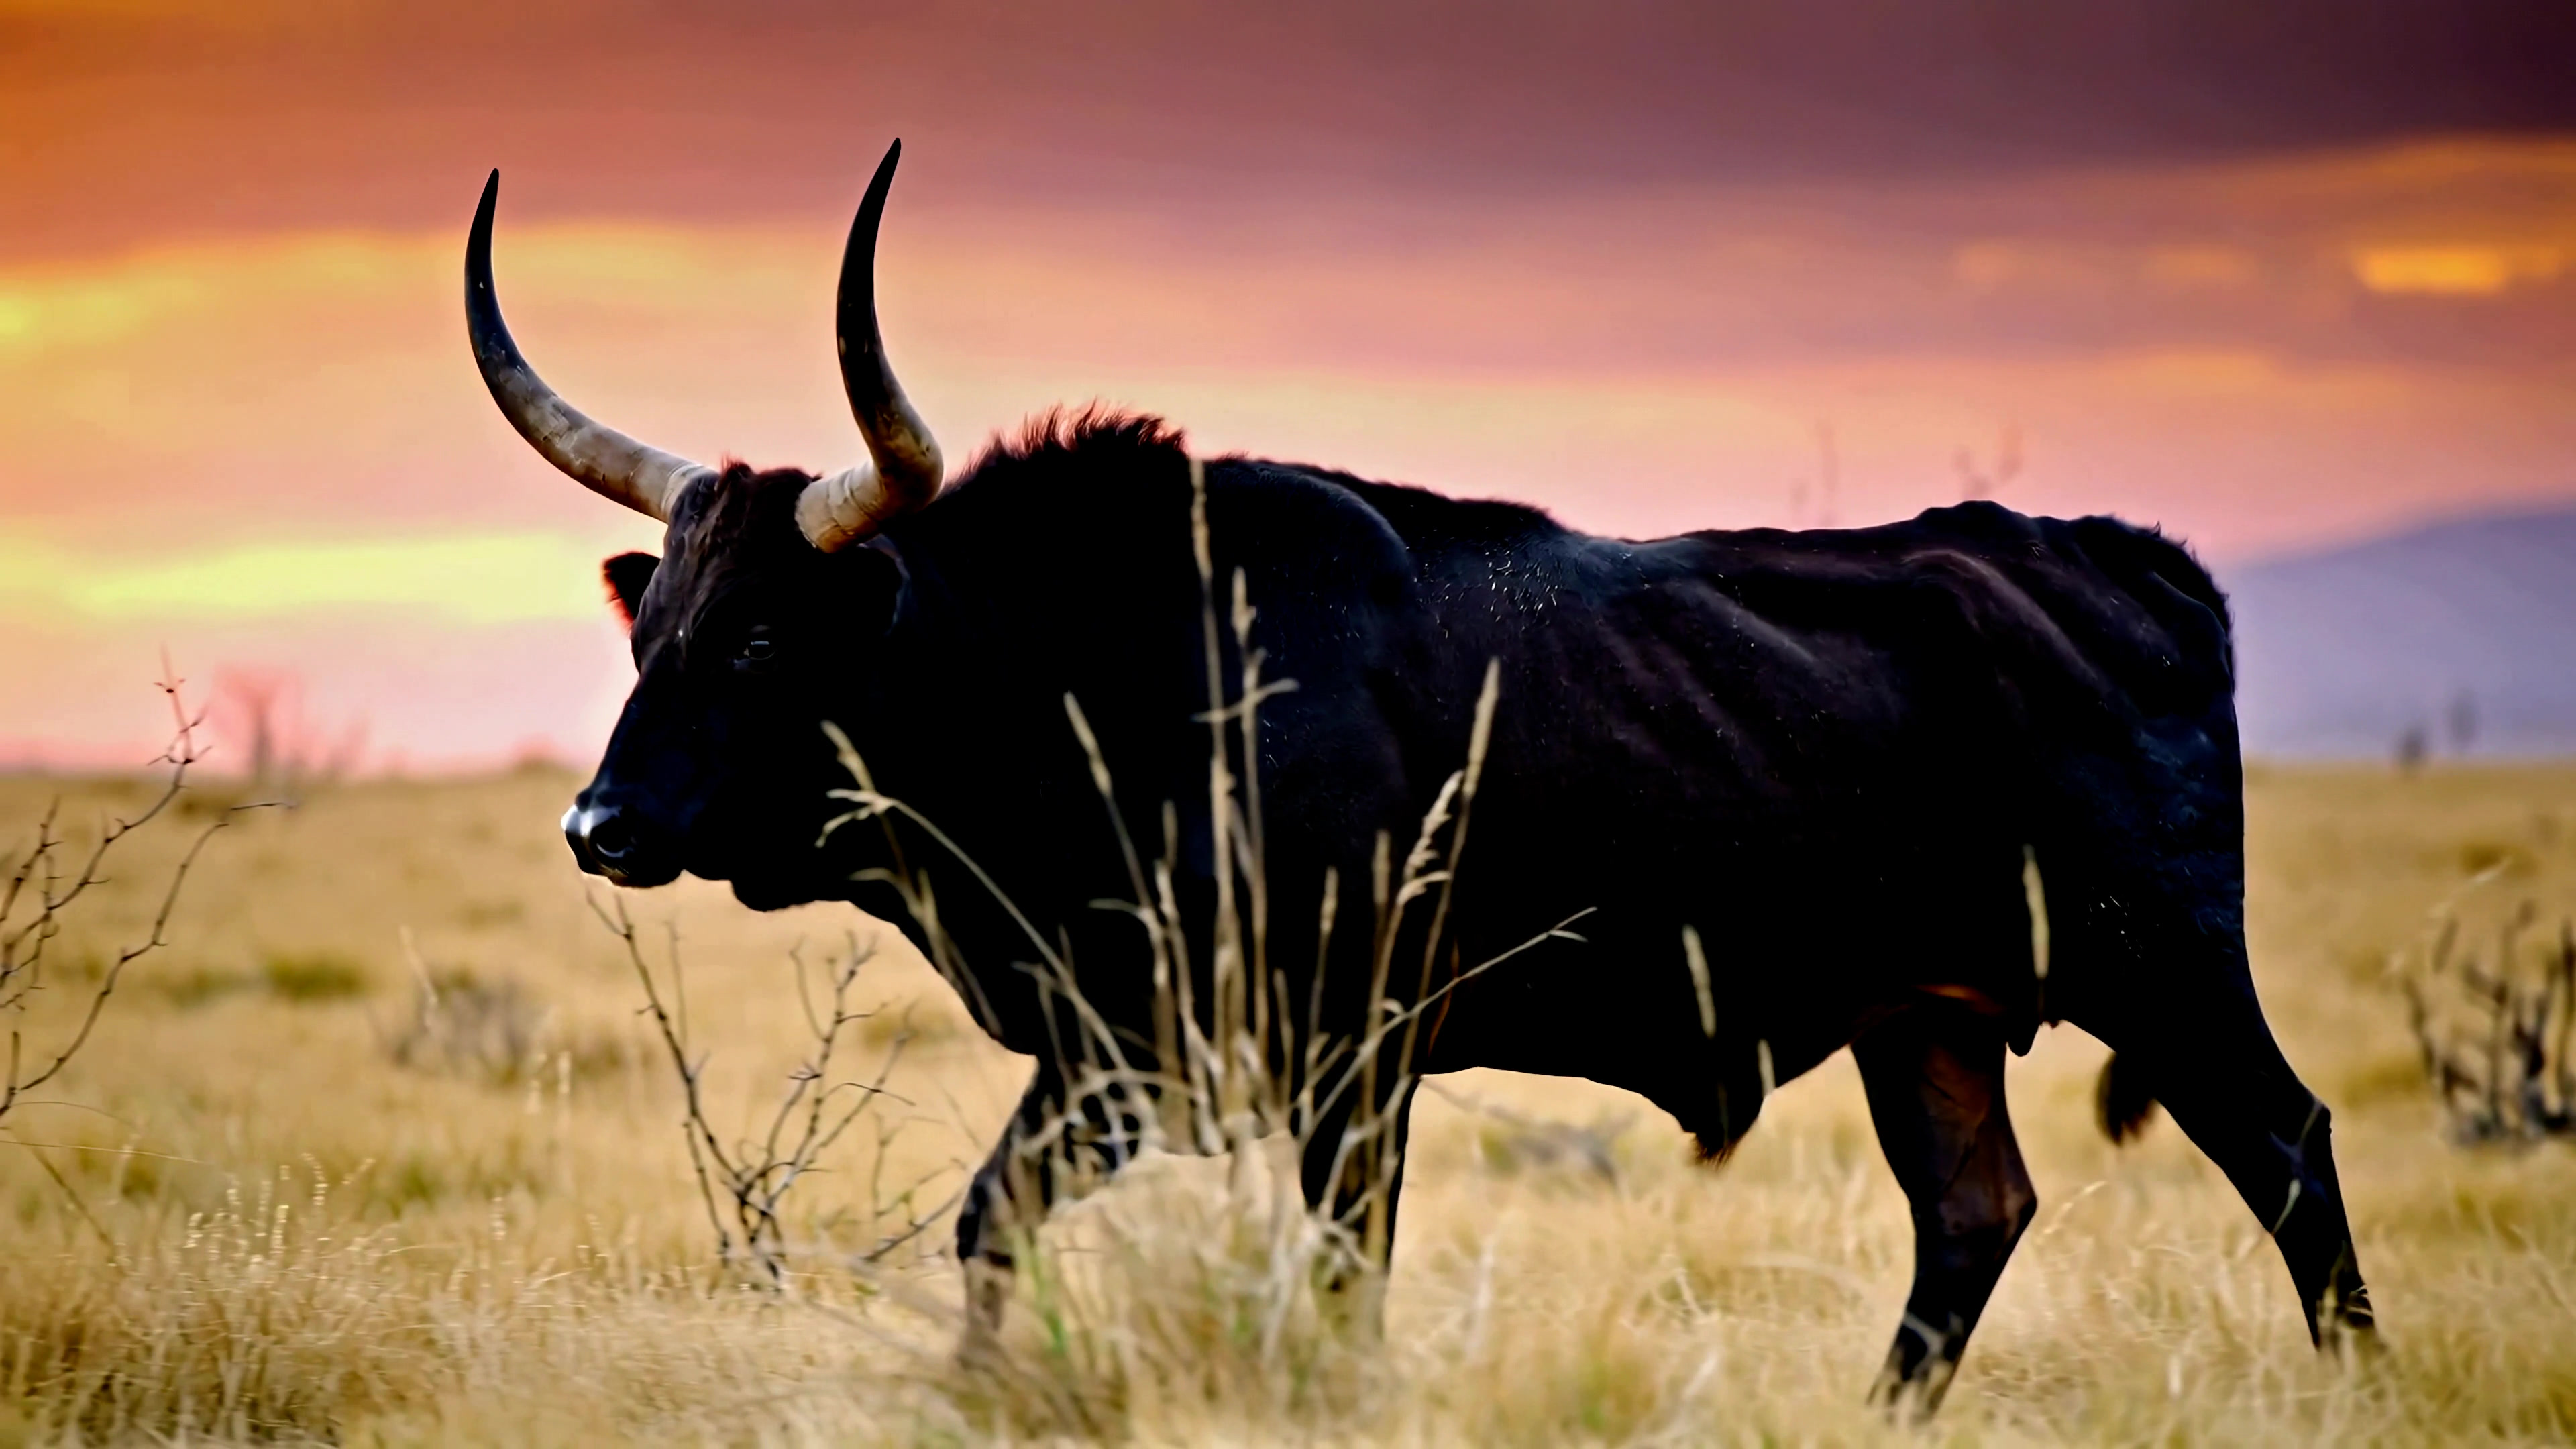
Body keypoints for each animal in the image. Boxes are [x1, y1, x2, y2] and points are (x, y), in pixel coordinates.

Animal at [464, 140, 2375, 1412]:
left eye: (760, 644)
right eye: (652, 635)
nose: (597, 824)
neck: (1122, 671)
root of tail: (2113, 559)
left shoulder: (1349, 1060)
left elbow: (1337, 1284)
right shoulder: (1122, 1050)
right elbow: (991, 1221)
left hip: (2163, 966)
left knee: (2287, 1149)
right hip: (1929, 1015)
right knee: (1974, 1214)